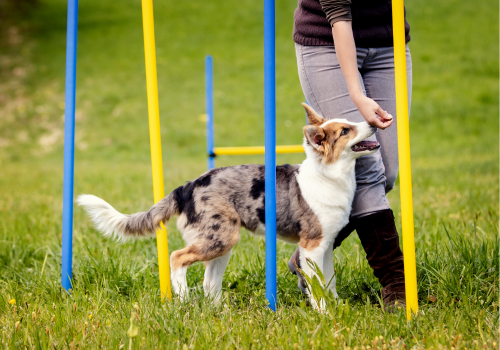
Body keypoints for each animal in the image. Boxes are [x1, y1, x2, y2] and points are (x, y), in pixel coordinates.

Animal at [77, 103, 378, 308]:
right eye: (345, 131)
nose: (374, 121)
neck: (330, 176)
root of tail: (187, 186)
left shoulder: (325, 246)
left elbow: (329, 281)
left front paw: (336, 307)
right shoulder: (312, 247)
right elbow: (317, 287)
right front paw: (325, 314)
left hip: (222, 242)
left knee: (209, 282)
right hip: (219, 238)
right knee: (177, 257)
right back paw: (183, 300)